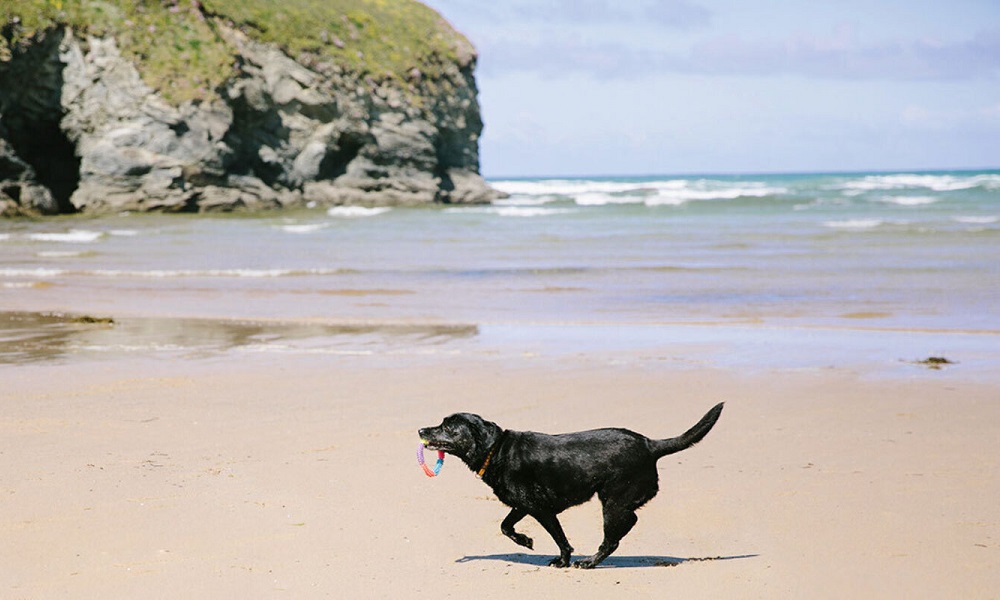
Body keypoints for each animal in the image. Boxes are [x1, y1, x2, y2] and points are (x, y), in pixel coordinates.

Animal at [418, 404, 724, 568]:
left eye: (447, 427)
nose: (421, 429)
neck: (496, 450)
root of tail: (651, 445)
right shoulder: (523, 505)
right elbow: (505, 526)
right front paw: (525, 540)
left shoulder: (541, 509)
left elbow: (560, 538)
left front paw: (562, 560)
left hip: (612, 501)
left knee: (615, 535)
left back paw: (588, 562)